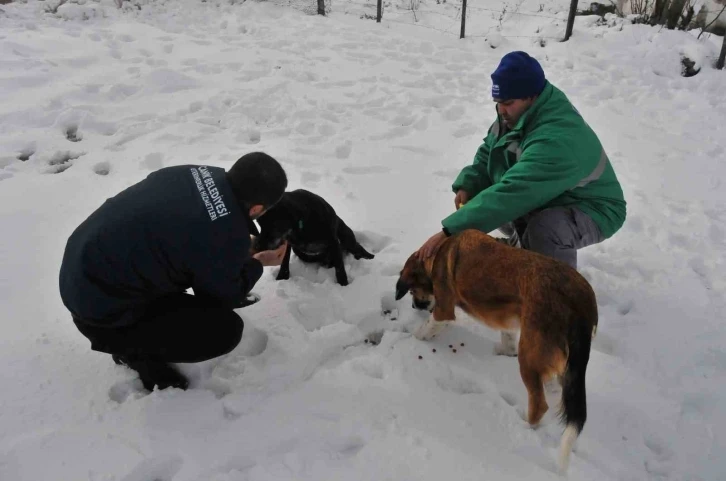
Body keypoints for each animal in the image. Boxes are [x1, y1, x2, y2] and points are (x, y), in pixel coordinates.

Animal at [396, 229, 600, 472]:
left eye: (411, 291)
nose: (415, 306)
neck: (438, 252)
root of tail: (580, 302)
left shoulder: (443, 310)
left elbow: (425, 329)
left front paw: (412, 336)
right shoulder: (509, 317)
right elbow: (508, 337)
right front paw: (502, 351)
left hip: (528, 357)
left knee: (539, 405)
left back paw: (524, 427)